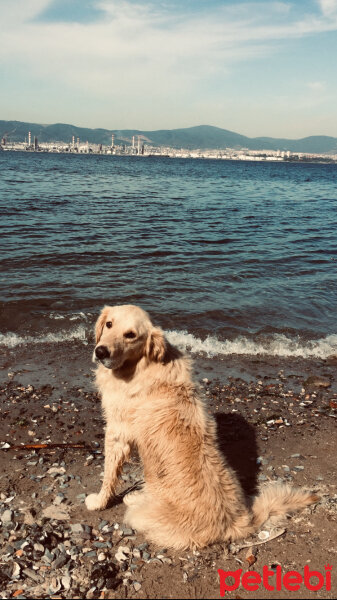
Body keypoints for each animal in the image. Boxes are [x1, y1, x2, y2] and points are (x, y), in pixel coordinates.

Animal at [85, 304, 316, 548]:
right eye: (109, 324)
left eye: (130, 335)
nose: (101, 352)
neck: (141, 365)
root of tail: (237, 523)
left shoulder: (117, 431)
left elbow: (109, 474)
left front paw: (98, 501)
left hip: (140, 515)